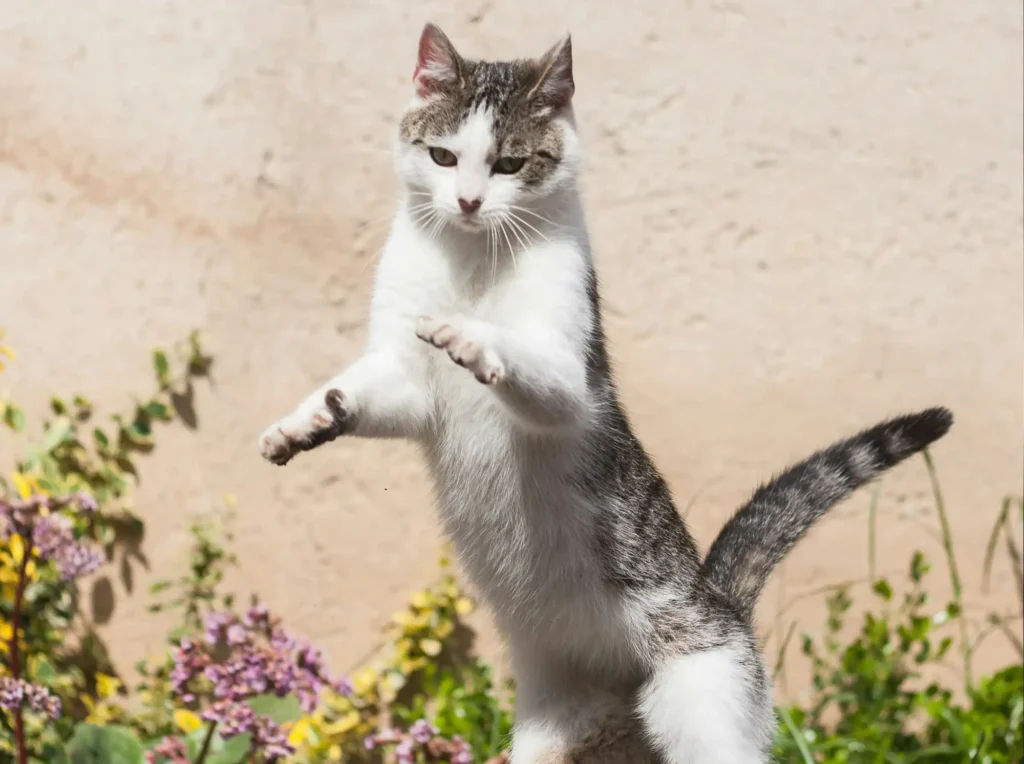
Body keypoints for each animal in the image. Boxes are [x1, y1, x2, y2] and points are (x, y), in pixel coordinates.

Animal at [260, 23, 954, 761]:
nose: (469, 202)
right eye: (443, 157)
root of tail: (722, 605)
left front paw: (472, 337)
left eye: (510, 164)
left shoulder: (569, 385)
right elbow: (358, 392)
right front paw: (305, 423)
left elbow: (527, 362)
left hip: (704, 711)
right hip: (546, 739)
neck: (474, 259)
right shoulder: (404, 379)